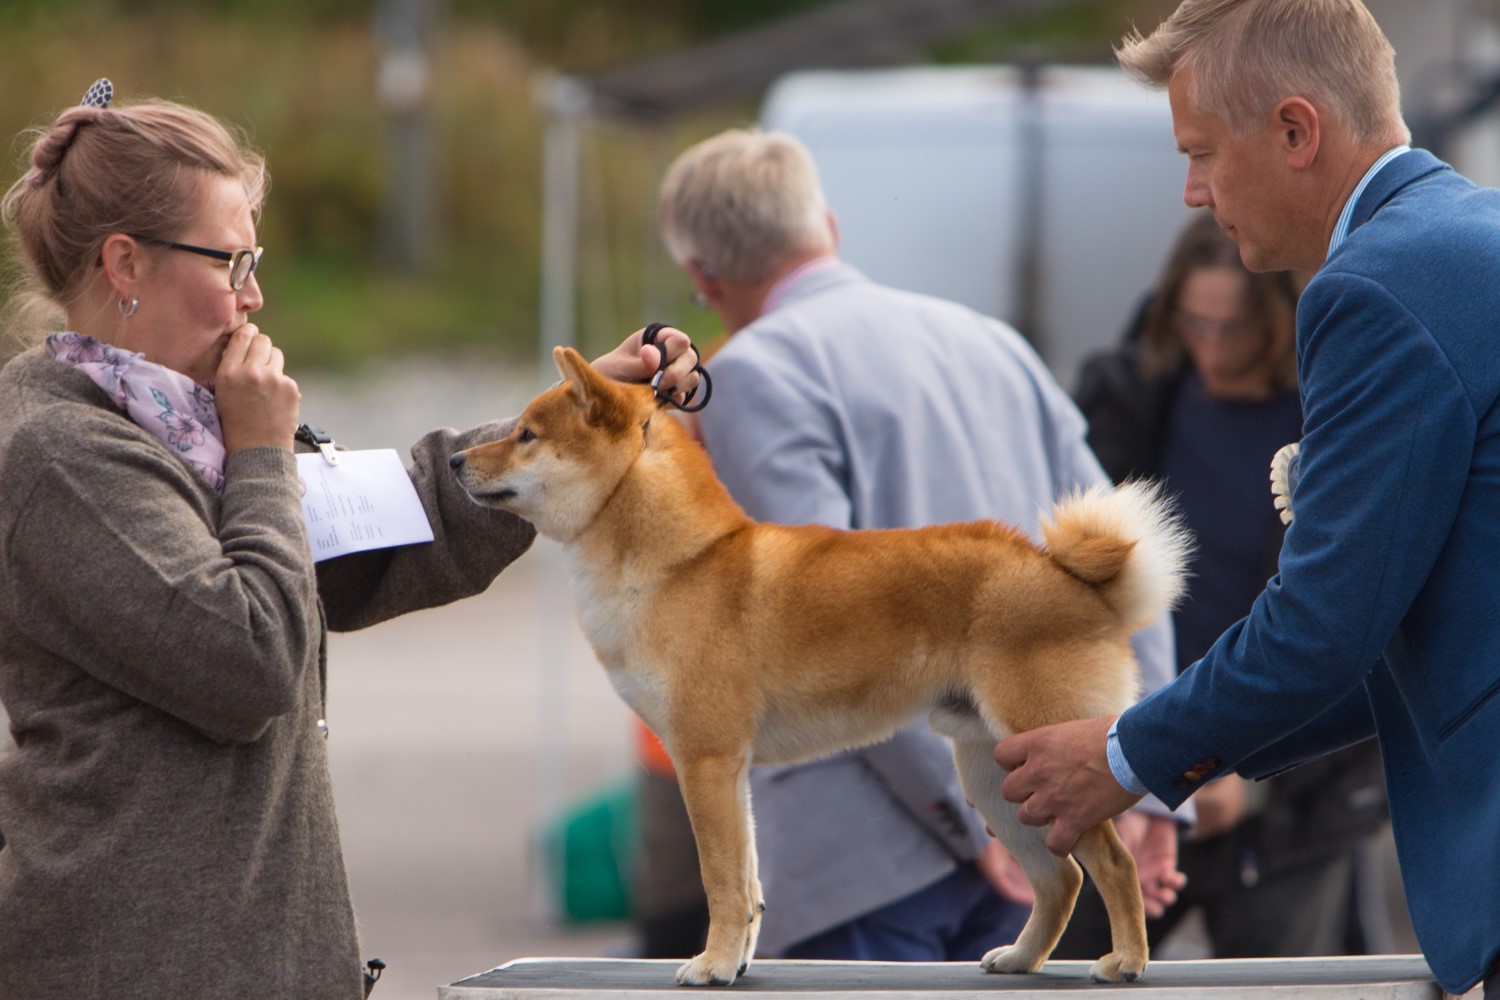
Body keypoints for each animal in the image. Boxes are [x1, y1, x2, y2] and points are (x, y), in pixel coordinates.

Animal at [450, 347, 1188, 989]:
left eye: (525, 434)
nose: (454, 458)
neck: (679, 563)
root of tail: (1074, 580)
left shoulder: (704, 759)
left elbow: (721, 880)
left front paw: (710, 965)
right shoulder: (729, 771)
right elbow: (748, 883)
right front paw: (736, 962)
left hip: (1049, 760)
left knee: (1114, 865)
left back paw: (1125, 962)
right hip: (996, 777)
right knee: (1060, 880)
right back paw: (1019, 959)